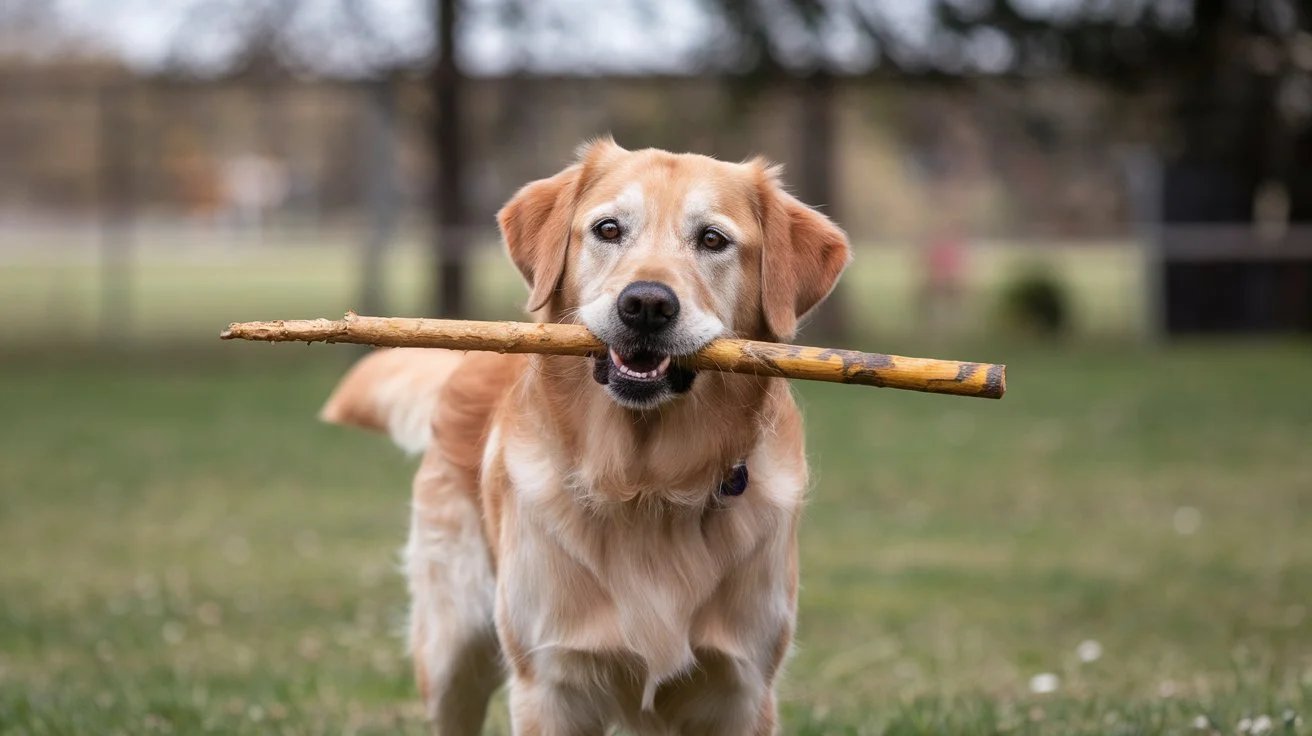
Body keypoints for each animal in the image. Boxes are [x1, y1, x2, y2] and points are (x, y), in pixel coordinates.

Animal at [317, 139, 850, 734]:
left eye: (713, 239)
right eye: (608, 229)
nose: (646, 305)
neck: (646, 486)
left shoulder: (743, 688)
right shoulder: (549, 683)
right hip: (453, 646)